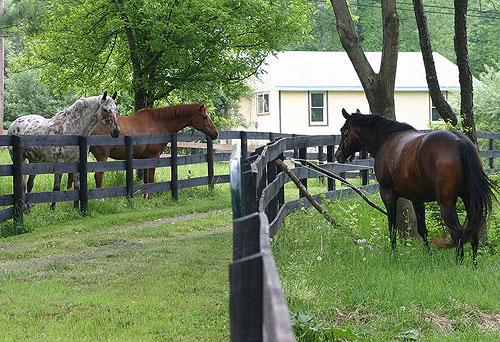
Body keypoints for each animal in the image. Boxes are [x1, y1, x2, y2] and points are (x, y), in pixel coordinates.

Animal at [69, 103, 219, 196]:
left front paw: (145, 197)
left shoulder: (145, 158)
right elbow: (151, 178)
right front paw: (150, 196)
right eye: (205, 116)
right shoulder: (154, 156)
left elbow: (146, 179)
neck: (158, 122)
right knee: (98, 176)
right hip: (102, 157)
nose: (215, 133)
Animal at [336, 109, 496, 262]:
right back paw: (474, 263)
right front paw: (429, 255)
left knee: (457, 231)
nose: (338, 155)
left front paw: (393, 253)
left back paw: (460, 262)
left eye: (343, 130)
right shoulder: (417, 199)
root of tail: (460, 141)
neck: (386, 140)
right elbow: (422, 229)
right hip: (469, 199)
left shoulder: (388, 193)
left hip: (447, 203)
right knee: (473, 229)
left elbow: (392, 225)